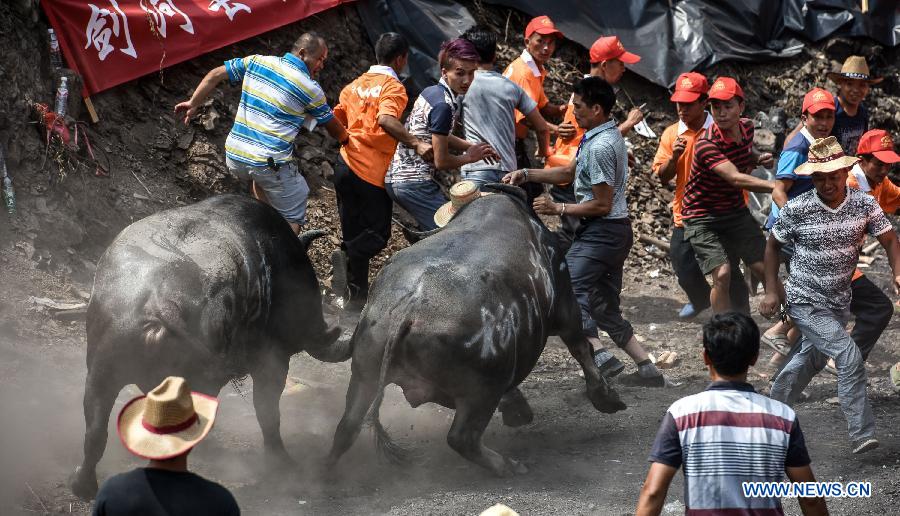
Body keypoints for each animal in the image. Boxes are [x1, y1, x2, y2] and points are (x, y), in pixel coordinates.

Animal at [71, 195, 348, 500]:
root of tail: (158, 302)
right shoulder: (271, 361)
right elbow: (267, 412)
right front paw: (280, 462)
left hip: (101, 372)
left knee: (95, 431)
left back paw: (83, 484)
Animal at [326, 184, 628, 476]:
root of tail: (407, 311)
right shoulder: (566, 304)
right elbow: (581, 347)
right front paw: (608, 398)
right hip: (482, 391)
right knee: (461, 438)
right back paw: (509, 464)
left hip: (364, 373)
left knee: (346, 427)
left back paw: (327, 474)